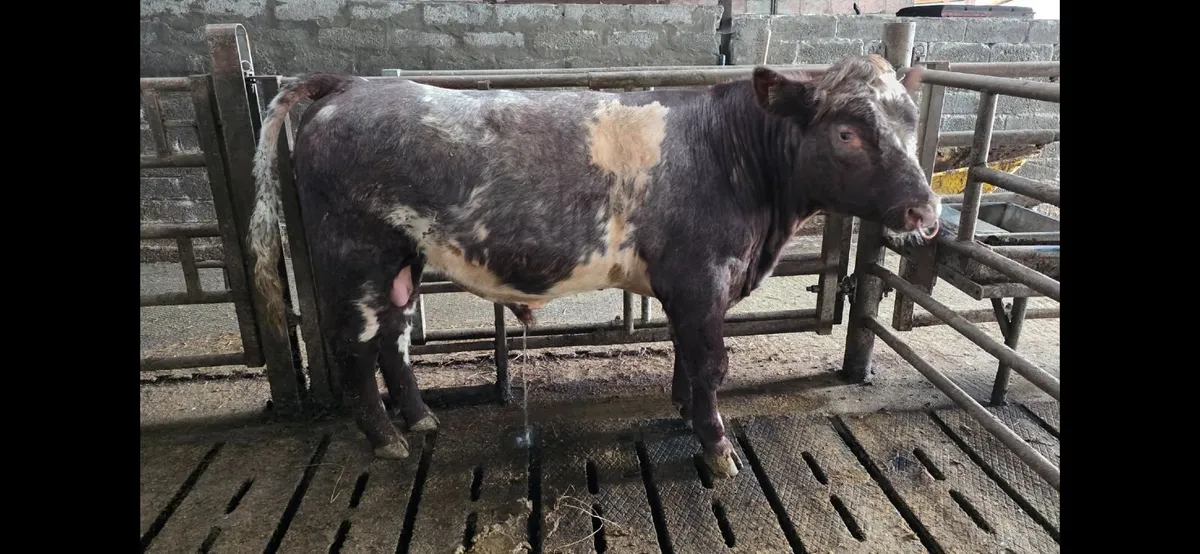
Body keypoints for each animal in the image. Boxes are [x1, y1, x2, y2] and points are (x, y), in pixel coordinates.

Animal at [248, 54, 940, 480]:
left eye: (911, 122)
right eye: (848, 132)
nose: (926, 209)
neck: (730, 155)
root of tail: (353, 86)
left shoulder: (685, 289)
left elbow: (686, 356)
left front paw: (685, 414)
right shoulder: (701, 278)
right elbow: (712, 364)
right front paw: (717, 447)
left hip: (402, 260)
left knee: (393, 337)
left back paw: (418, 418)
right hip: (355, 256)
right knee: (357, 344)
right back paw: (385, 437)